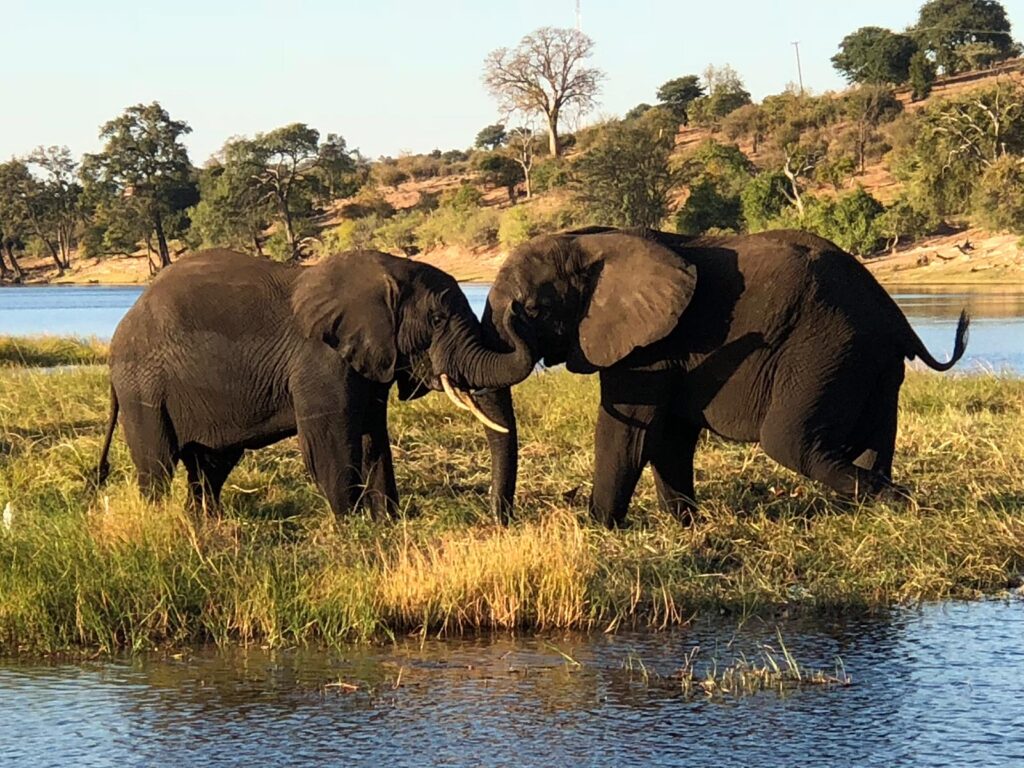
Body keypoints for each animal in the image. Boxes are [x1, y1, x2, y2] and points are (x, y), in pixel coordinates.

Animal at [94, 249, 536, 520]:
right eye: (438, 320)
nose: (519, 306)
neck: (382, 273)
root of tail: (120, 330)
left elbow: (373, 437)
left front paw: (386, 524)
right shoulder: (319, 362)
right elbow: (331, 442)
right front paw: (351, 527)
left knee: (210, 466)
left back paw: (204, 524)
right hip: (142, 387)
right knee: (157, 466)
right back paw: (159, 521)